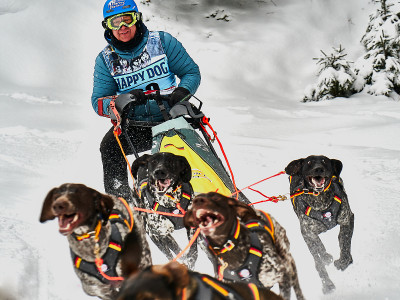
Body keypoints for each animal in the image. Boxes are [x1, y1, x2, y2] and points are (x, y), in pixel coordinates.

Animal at [284, 156, 354, 294]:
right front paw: (327, 284)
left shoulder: (348, 219)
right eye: (309, 162)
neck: (320, 201)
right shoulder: (307, 233)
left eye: (324, 161)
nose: (318, 169)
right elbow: (318, 258)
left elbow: (345, 243)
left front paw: (343, 261)